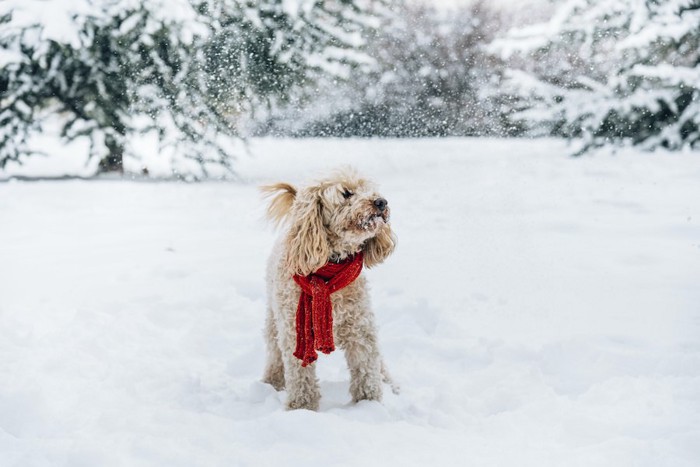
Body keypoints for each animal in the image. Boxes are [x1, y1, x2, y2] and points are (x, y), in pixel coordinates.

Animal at [260, 168, 396, 410]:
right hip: (274, 321)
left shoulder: (361, 329)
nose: (381, 202)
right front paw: (301, 408)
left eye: (369, 189)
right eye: (347, 193)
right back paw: (271, 382)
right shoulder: (296, 333)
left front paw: (369, 404)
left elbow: (367, 370)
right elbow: (301, 377)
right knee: (275, 354)